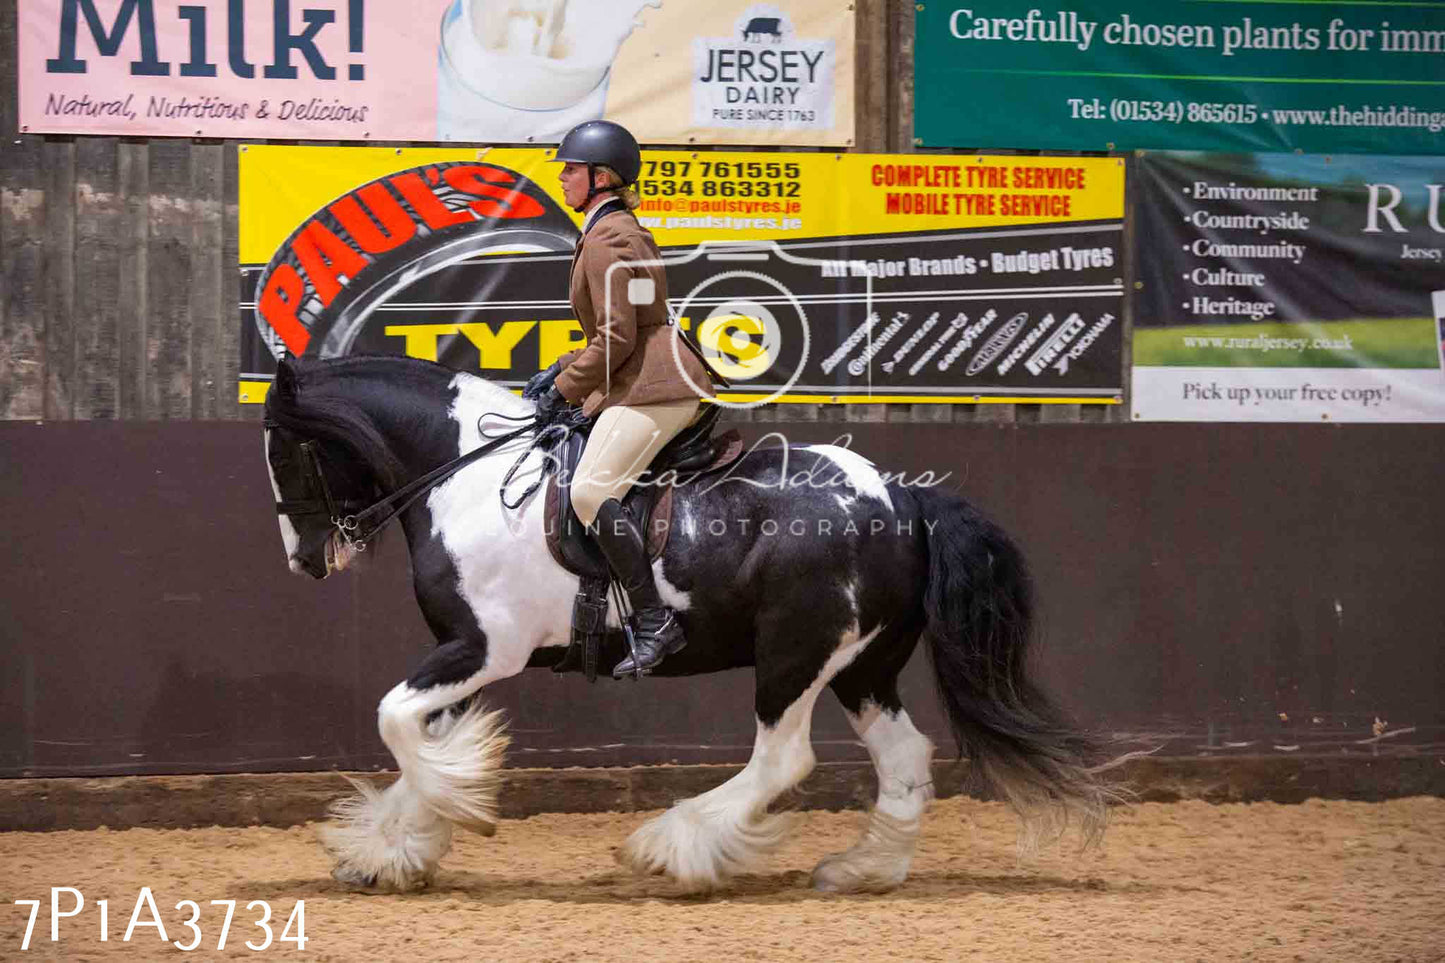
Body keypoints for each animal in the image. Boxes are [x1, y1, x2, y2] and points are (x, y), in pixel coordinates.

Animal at [265, 352, 1121, 890]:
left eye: (285, 451)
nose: (304, 561)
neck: (466, 475)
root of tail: (906, 498)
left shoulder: (482, 647)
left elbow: (396, 723)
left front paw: (443, 815)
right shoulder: (464, 653)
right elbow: (421, 741)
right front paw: (391, 848)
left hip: (795, 654)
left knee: (782, 759)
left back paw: (671, 848)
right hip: (862, 665)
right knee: (904, 757)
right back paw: (861, 870)